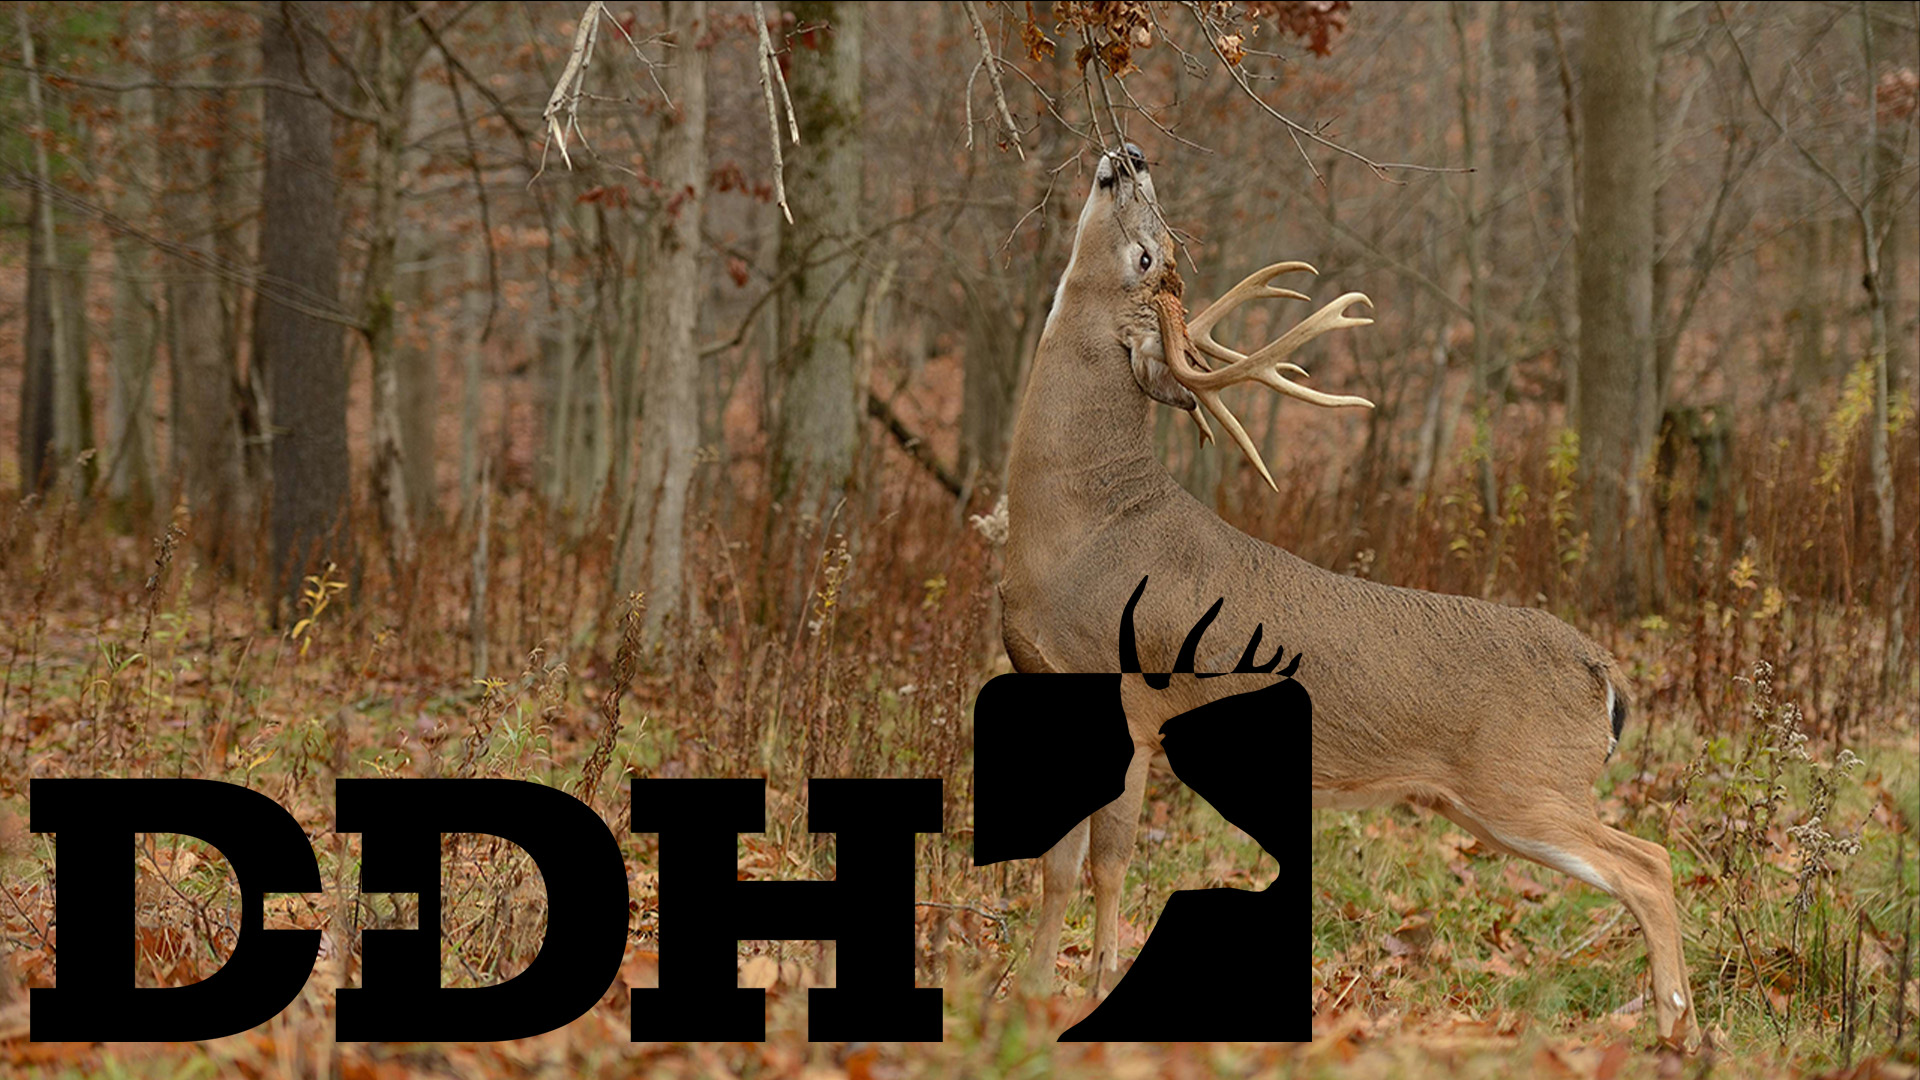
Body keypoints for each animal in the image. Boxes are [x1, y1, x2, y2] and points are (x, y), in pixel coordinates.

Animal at [998, 143, 1698, 1047]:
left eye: (1147, 256)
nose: (1133, 154)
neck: (1077, 525)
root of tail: (1601, 672)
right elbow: (1058, 864)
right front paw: (1025, 994)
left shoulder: (1130, 704)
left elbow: (1104, 867)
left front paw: (1093, 995)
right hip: (1486, 802)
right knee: (1649, 859)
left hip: (1523, 785)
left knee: (1649, 864)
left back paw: (1675, 1026)